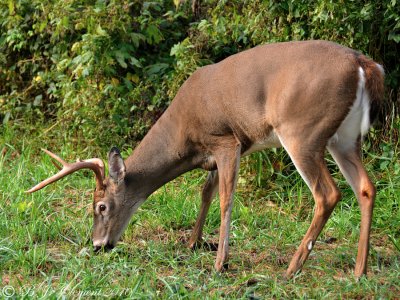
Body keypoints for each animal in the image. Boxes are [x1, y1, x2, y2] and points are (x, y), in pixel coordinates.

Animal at [26, 41, 382, 278]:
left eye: (100, 206)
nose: (98, 244)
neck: (185, 138)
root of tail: (363, 63)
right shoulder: (214, 153)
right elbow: (205, 192)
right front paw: (193, 243)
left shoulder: (225, 139)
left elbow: (226, 198)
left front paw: (220, 262)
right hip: (345, 138)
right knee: (366, 187)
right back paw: (359, 270)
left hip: (302, 131)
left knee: (328, 193)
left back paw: (292, 269)